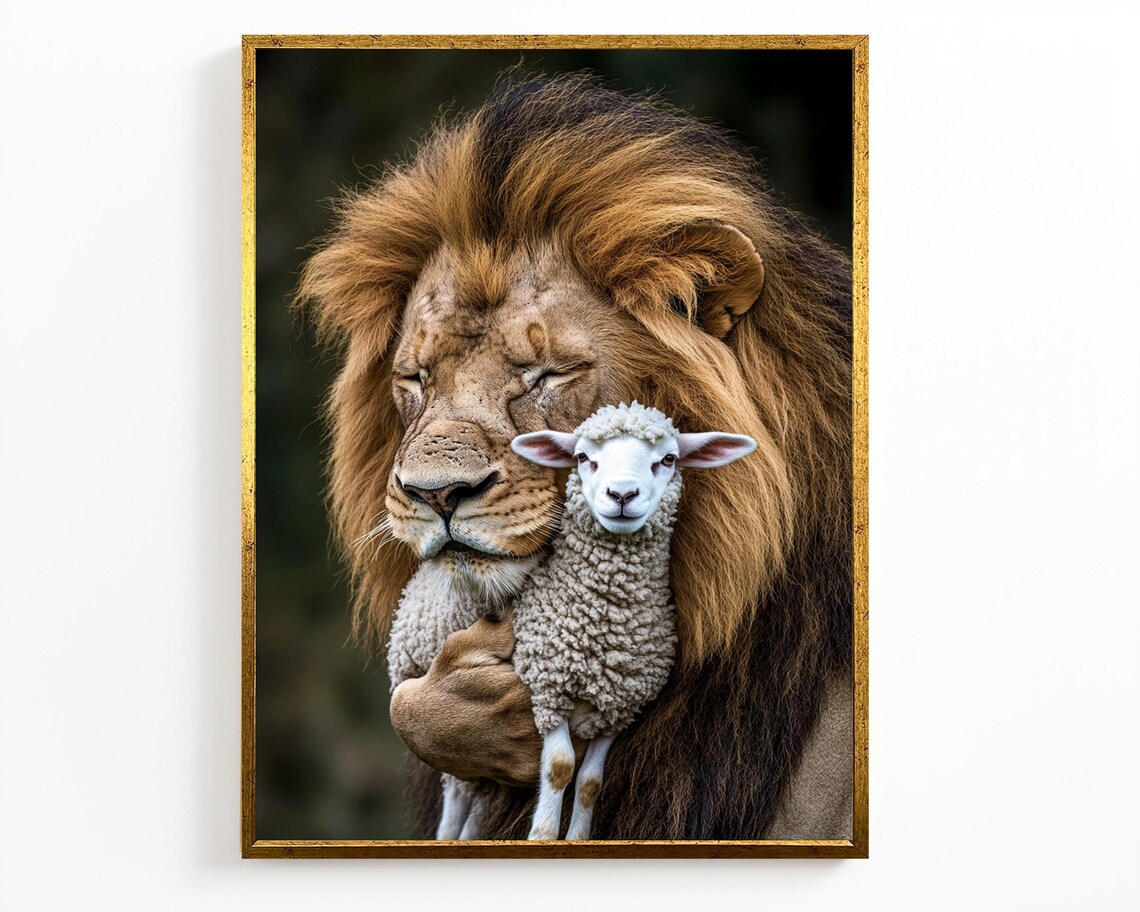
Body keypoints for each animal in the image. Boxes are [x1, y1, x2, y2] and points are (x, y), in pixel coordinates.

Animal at [510, 401, 757, 840]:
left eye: (669, 459)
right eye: (582, 457)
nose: (622, 494)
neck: (607, 622)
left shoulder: (619, 709)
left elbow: (590, 783)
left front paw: (577, 838)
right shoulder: (548, 687)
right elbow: (559, 768)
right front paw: (542, 835)